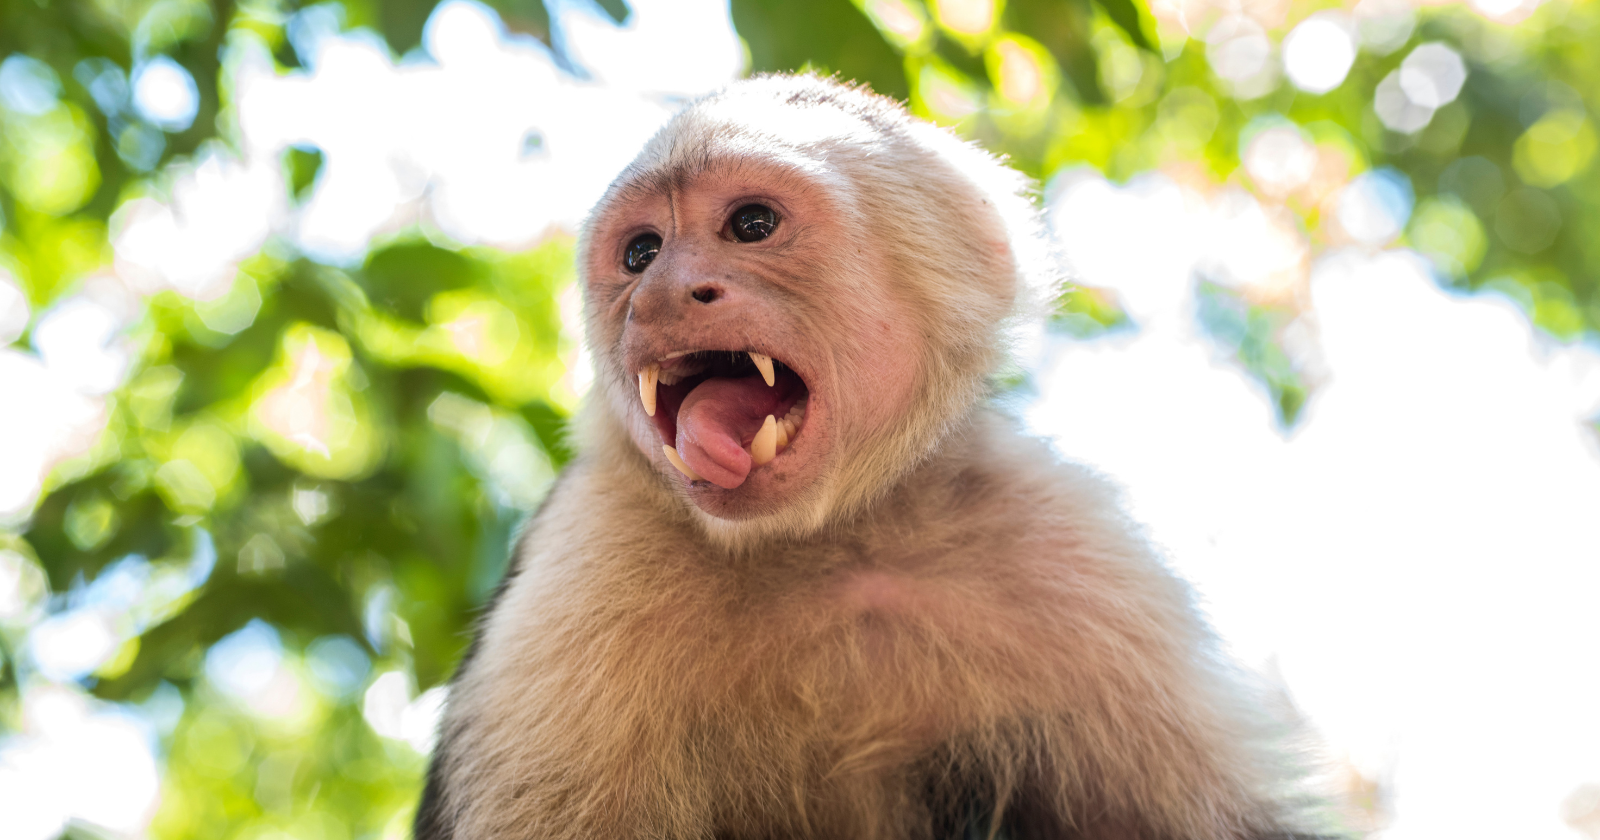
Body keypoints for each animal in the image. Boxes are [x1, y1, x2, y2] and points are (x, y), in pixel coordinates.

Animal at [414, 74, 1328, 840]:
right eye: (640, 253)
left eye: (751, 225)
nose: (661, 293)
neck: (833, 541)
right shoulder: (585, 567)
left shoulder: (1078, 561)